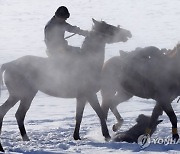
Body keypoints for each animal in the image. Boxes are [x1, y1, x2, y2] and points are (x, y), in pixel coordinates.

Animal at [0, 17, 131, 150]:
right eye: (108, 27)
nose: (128, 33)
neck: (90, 63)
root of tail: (8, 65)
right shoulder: (90, 94)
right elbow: (99, 113)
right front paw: (107, 135)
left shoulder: (81, 97)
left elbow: (79, 116)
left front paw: (77, 136)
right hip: (22, 94)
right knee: (14, 113)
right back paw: (25, 138)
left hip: (22, 95)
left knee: (12, 113)